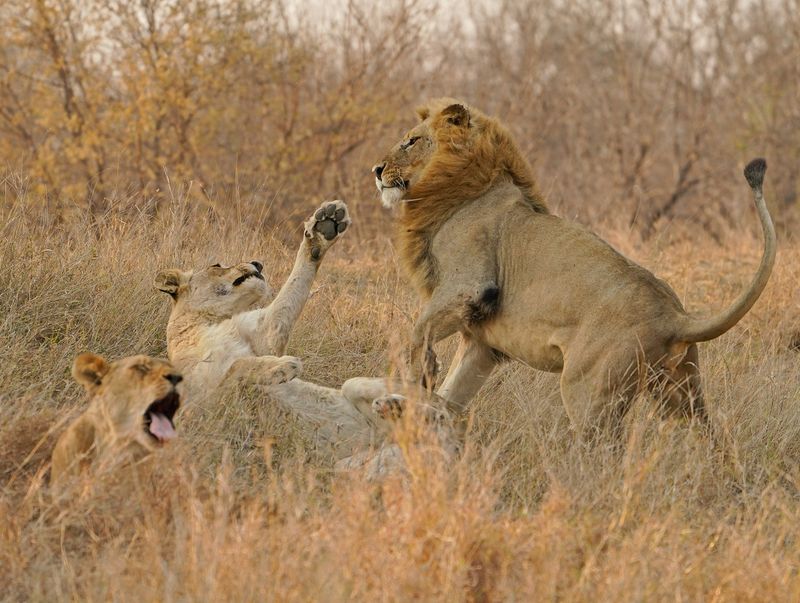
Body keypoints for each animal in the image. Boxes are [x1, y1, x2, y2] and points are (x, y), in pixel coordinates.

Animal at [154, 200, 460, 475]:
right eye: (217, 264)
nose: (257, 262)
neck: (209, 323)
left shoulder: (264, 332)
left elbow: (289, 296)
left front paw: (324, 228)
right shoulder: (196, 412)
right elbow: (235, 368)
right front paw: (282, 366)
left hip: (358, 392)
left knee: (441, 414)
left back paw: (413, 386)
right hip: (352, 468)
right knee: (437, 427)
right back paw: (400, 403)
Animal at [373, 98, 776, 436]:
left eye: (411, 141)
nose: (376, 169)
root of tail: (674, 316)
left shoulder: (470, 284)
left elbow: (418, 332)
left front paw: (414, 380)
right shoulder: (483, 343)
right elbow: (451, 392)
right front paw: (412, 409)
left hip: (588, 391)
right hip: (681, 394)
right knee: (705, 439)